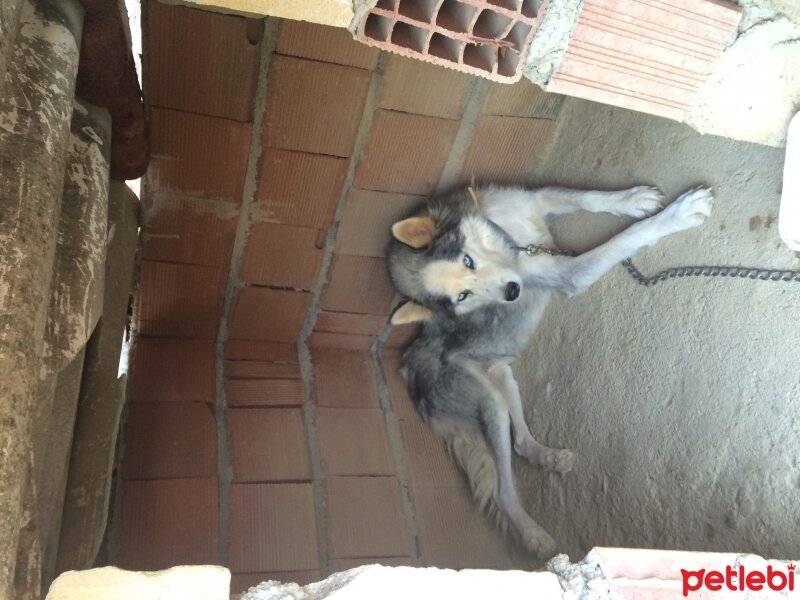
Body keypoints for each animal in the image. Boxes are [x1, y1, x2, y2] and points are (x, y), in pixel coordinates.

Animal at [386, 184, 712, 556]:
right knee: (503, 490)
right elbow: (624, 239)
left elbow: (587, 198)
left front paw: (632, 200)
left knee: (520, 442)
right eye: (463, 297)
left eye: (467, 261)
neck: (513, 243)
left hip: (501, 377)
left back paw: (548, 457)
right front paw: (677, 215)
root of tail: (409, 365)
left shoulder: (537, 198)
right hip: (487, 402)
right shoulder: (567, 273)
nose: (513, 292)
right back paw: (534, 535)